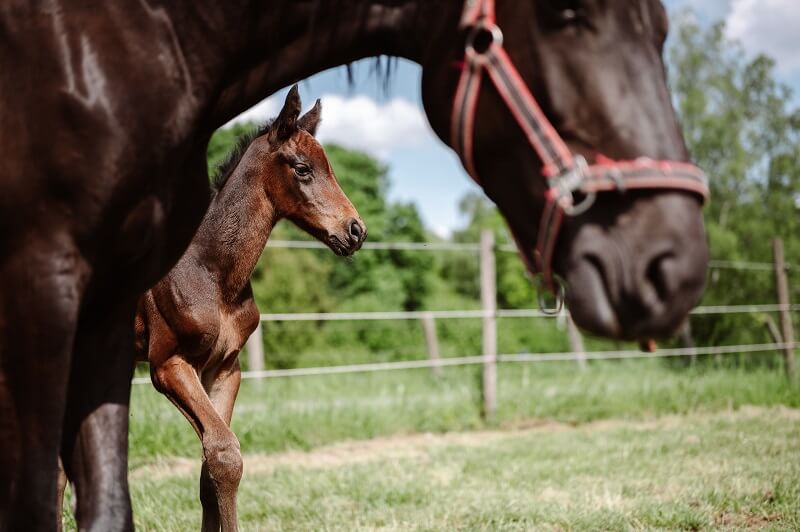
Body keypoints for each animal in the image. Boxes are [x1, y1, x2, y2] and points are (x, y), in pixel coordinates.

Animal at [130, 88, 362, 532]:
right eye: (303, 169)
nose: (356, 230)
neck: (209, 271)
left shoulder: (223, 368)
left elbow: (211, 468)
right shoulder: (168, 364)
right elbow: (224, 453)